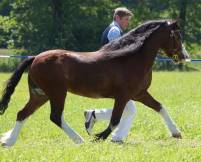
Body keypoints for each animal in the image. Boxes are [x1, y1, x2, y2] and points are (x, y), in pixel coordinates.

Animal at [0, 19, 188, 146]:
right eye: (177, 36)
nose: (184, 57)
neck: (131, 58)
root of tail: (35, 58)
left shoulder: (139, 94)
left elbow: (160, 107)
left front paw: (176, 133)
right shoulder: (123, 96)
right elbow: (115, 119)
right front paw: (98, 137)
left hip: (40, 95)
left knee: (22, 113)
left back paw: (8, 141)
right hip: (57, 93)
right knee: (55, 116)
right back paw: (79, 139)